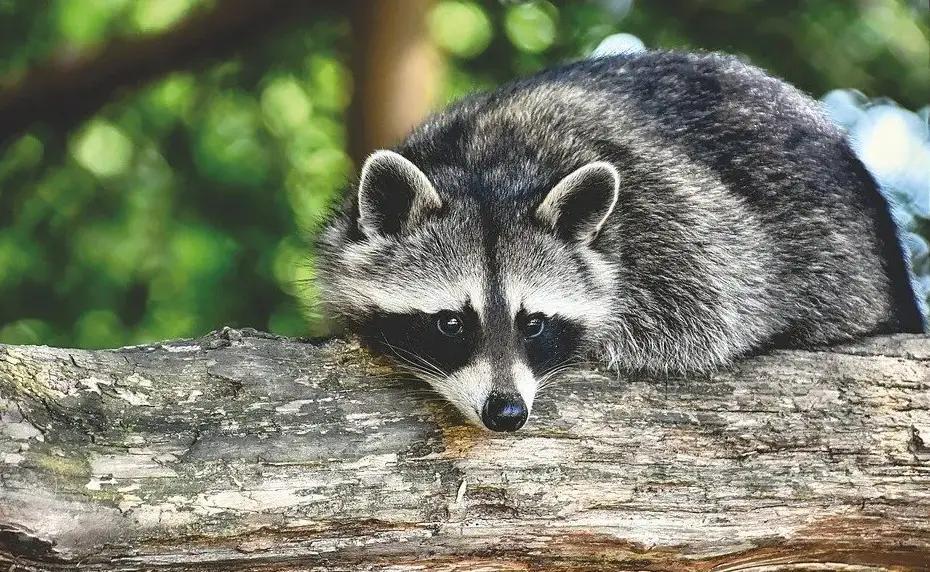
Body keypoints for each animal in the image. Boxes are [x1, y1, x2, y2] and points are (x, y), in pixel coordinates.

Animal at [316, 51, 925, 432]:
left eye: (533, 323)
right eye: (451, 323)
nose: (507, 414)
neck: (483, 163)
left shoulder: (679, 225)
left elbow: (712, 314)